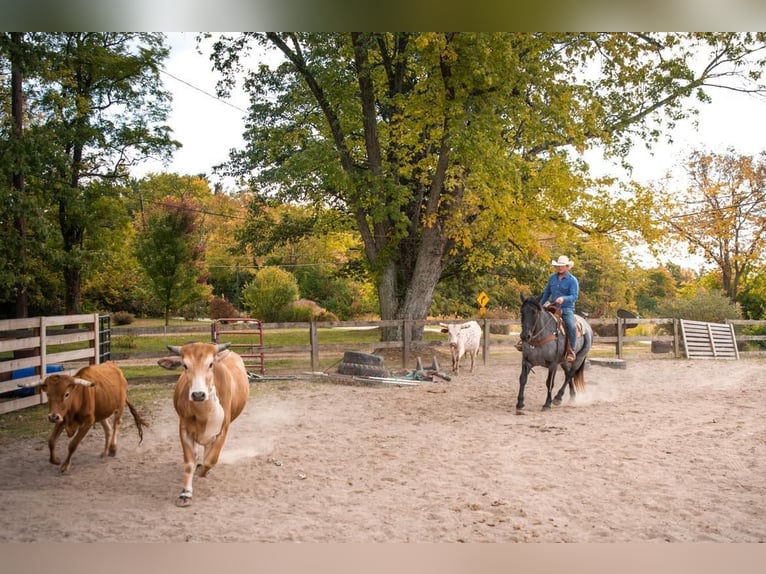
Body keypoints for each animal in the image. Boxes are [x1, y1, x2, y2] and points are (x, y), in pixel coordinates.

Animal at [164, 342, 250, 508]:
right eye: (185, 365)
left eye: (210, 364)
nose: (198, 394)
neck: (204, 414)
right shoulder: (184, 430)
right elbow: (189, 463)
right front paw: (185, 493)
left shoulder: (222, 430)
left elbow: (211, 460)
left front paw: (203, 471)